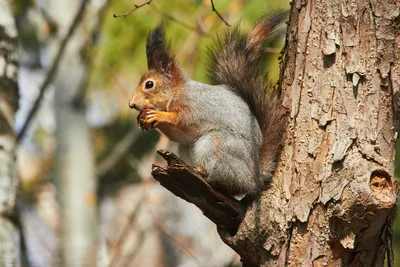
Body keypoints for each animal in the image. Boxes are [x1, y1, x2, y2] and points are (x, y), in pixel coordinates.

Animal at [128, 11, 288, 197]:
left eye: (149, 84)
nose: (131, 104)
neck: (176, 93)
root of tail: (254, 178)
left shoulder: (194, 105)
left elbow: (185, 120)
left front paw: (158, 115)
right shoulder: (181, 133)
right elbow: (177, 134)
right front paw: (143, 119)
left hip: (215, 144)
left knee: (233, 183)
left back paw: (208, 174)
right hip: (188, 148)